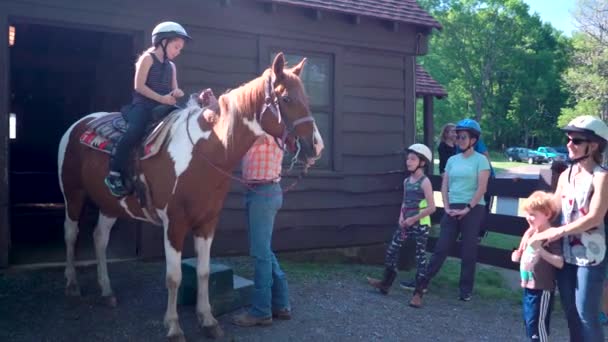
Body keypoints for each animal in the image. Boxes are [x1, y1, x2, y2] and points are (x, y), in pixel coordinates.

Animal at [57, 52, 324, 340]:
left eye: (306, 98)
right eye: (286, 99)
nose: (316, 146)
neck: (204, 152)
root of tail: (77, 125)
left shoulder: (207, 224)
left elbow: (204, 272)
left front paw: (207, 320)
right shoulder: (174, 224)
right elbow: (174, 277)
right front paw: (174, 326)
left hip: (110, 204)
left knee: (100, 238)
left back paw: (107, 291)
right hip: (73, 194)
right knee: (71, 234)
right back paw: (72, 285)